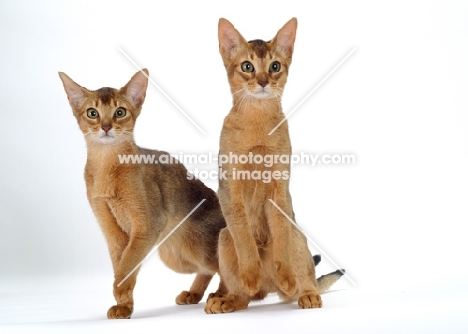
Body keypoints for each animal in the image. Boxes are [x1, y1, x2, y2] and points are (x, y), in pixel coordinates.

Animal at [57, 70, 230, 318]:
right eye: (92, 113)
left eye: (120, 112)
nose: (106, 126)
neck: (107, 168)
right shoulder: (113, 231)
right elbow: (121, 265)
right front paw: (124, 305)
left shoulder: (146, 226)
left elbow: (127, 265)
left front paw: (120, 294)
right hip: (174, 256)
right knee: (207, 270)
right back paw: (194, 294)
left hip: (199, 246)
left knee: (228, 264)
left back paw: (225, 295)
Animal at [205, 17, 344, 316]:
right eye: (247, 66)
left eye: (275, 66)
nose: (263, 81)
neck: (257, 123)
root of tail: (268, 289)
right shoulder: (230, 189)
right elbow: (245, 239)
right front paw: (250, 274)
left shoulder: (280, 189)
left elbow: (280, 232)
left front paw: (287, 276)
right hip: (224, 238)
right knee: (243, 295)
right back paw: (227, 299)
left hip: (298, 237)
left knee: (307, 278)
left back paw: (304, 293)